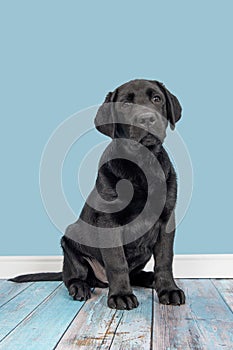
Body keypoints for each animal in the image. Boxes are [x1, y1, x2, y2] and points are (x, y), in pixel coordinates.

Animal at [10, 78, 186, 308]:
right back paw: (80, 288)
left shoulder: (166, 218)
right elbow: (117, 262)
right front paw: (121, 295)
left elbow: (165, 259)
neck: (142, 163)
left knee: (135, 274)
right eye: (125, 104)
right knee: (73, 277)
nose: (147, 119)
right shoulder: (109, 222)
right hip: (69, 242)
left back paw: (150, 278)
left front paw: (168, 289)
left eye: (157, 99)